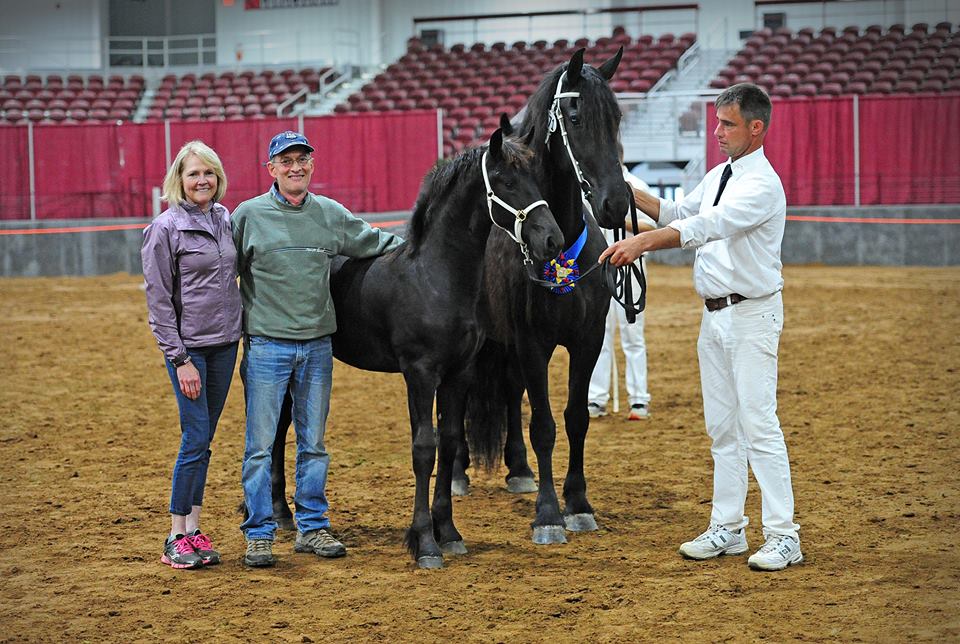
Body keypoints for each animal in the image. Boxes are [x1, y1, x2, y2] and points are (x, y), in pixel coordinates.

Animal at [258, 130, 568, 568]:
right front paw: (424, 543)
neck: (434, 277)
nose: (552, 240)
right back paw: (281, 515)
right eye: (507, 182)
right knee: (276, 428)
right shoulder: (419, 373)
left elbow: (450, 441)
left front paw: (449, 533)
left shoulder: (458, 374)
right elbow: (424, 447)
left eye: (535, 181)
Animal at [458, 47, 632, 544]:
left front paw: (579, 504)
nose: (616, 203)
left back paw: (518, 471)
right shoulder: (532, 342)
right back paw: (457, 472)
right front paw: (549, 515)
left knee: (510, 392)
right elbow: (544, 425)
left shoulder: (587, 340)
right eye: (574, 117)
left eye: (616, 117)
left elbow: (575, 418)